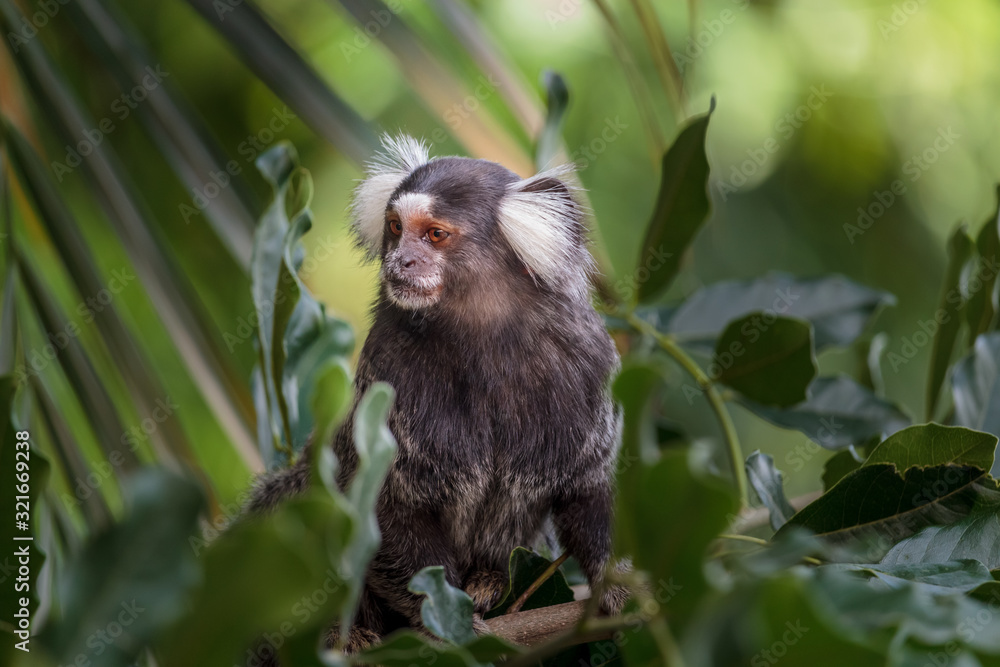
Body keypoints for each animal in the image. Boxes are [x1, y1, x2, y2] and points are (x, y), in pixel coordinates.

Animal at [246, 135, 625, 658]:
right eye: (396, 228)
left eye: (435, 235)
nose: (399, 261)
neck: (485, 342)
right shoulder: (388, 372)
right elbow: (378, 502)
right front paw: (446, 619)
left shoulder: (588, 367)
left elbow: (588, 486)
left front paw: (618, 582)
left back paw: (490, 580)